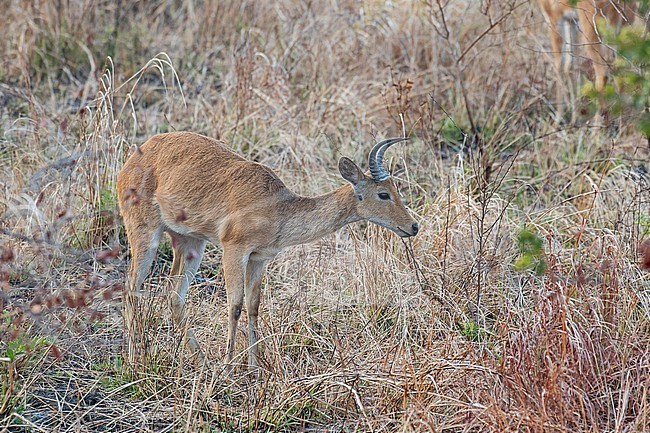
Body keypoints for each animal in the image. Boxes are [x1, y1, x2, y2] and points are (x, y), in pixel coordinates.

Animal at [116, 132, 418, 372]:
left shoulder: (259, 259)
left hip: (189, 243)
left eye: (396, 189)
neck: (278, 207)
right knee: (130, 288)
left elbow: (253, 307)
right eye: (383, 194)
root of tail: (134, 158)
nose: (413, 226)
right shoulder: (234, 250)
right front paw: (229, 368)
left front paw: (254, 367)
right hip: (145, 234)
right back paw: (134, 361)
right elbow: (235, 306)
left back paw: (201, 361)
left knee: (174, 296)